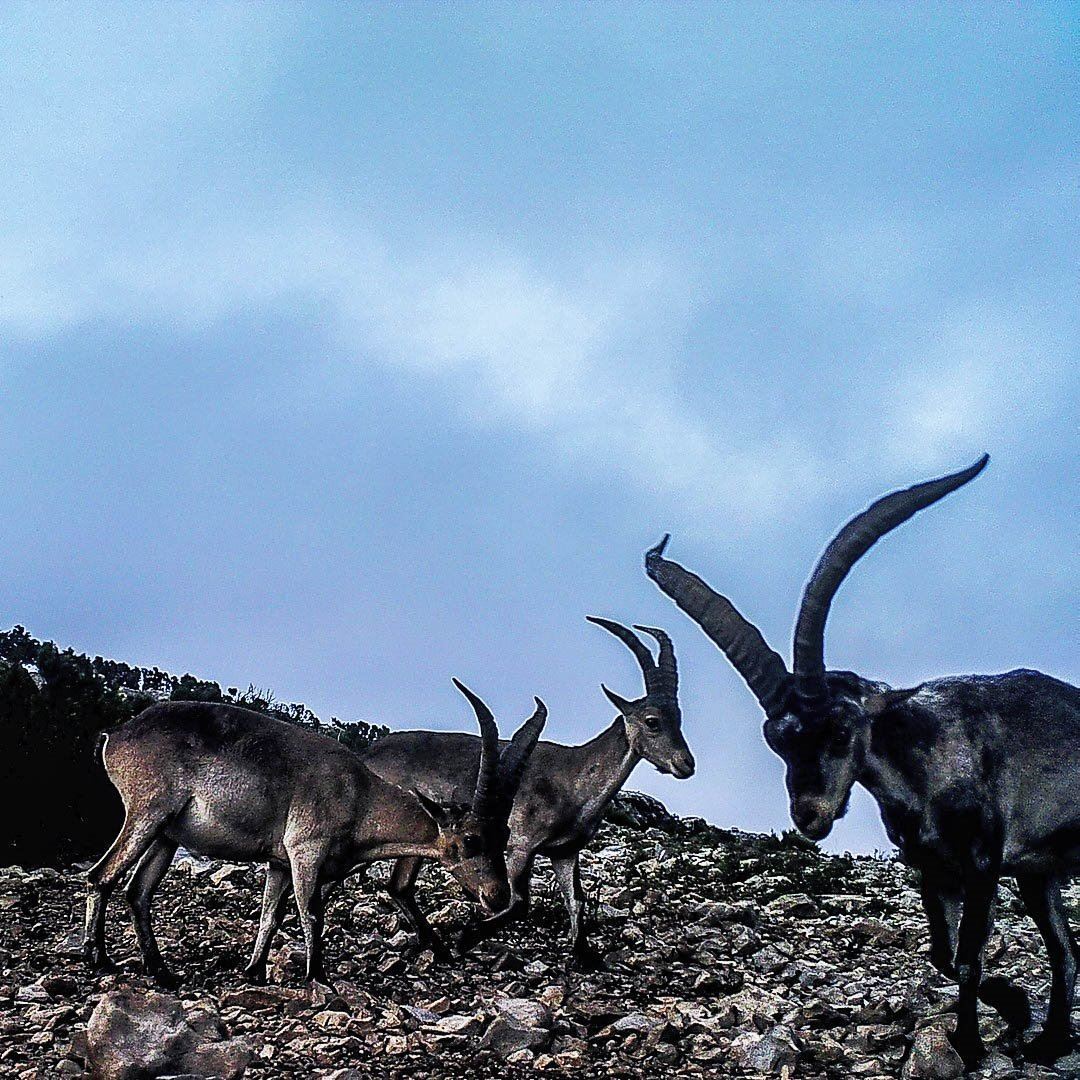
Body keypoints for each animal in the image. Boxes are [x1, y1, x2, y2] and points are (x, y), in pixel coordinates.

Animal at [84, 679, 546, 986]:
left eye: (504, 835)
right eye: (470, 840)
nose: (497, 896)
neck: (359, 795)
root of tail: (116, 735)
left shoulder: (278, 863)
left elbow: (270, 915)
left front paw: (254, 971)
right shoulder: (304, 851)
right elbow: (311, 912)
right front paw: (316, 975)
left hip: (167, 835)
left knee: (137, 891)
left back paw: (161, 970)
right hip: (147, 812)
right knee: (101, 876)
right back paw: (100, 959)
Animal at [358, 617, 695, 968]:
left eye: (679, 719)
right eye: (652, 721)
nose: (686, 764)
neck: (574, 785)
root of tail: (368, 755)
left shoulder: (564, 852)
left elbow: (576, 901)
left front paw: (583, 955)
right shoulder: (522, 845)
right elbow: (520, 902)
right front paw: (467, 937)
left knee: (399, 887)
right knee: (399, 885)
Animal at [645, 454, 1080, 1068]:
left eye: (840, 729)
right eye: (776, 740)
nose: (808, 815)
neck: (926, 770)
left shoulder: (982, 863)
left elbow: (967, 958)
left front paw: (972, 1046)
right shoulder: (933, 868)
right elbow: (943, 955)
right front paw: (1016, 1008)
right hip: (1040, 874)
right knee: (1065, 950)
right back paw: (1052, 1038)